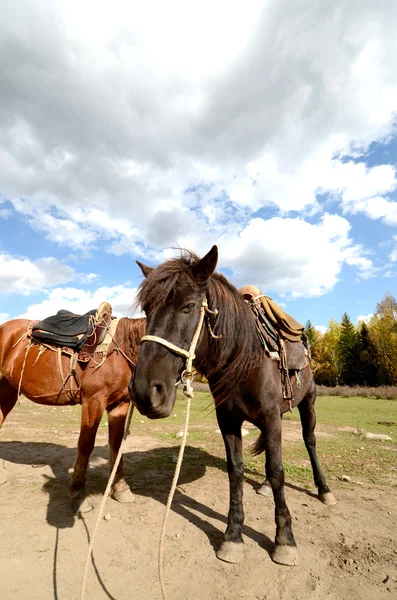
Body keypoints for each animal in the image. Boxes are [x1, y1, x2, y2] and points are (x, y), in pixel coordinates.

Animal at [0, 314, 145, 510]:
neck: (121, 349)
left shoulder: (120, 403)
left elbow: (116, 444)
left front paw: (121, 489)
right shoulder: (93, 400)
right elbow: (85, 444)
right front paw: (78, 494)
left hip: (7, 390)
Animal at [131, 244, 336, 568]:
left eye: (188, 306)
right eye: (147, 310)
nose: (144, 391)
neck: (246, 360)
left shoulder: (271, 417)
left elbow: (277, 470)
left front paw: (284, 540)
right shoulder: (228, 421)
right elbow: (236, 470)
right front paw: (233, 535)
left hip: (309, 402)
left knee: (309, 440)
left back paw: (324, 489)